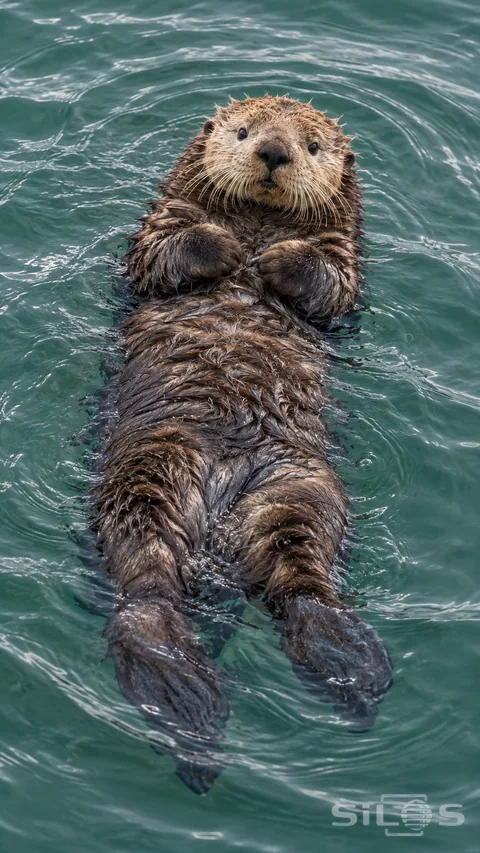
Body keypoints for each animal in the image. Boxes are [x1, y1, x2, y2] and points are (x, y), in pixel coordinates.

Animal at [92, 95, 392, 793]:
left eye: (312, 146)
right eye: (243, 130)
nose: (274, 153)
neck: (259, 221)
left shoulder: (344, 257)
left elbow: (329, 283)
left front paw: (279, 259)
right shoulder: (159, 228)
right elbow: (165, 253)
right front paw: (227, 247)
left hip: (298, 481)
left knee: (298, 574)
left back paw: (343, 656)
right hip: (157, 460)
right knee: (149, 582)